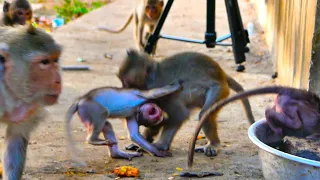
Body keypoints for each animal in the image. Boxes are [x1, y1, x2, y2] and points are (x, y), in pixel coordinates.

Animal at [117, 49, 255, 158]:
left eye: (125, 81)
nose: (124, 88)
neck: (152, 78)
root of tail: (222, 75)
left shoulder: (163, 93)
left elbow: (178, 115)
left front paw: (156, 143)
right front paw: (147, 140)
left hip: (219, 90)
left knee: (204, 114)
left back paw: (213, 144)